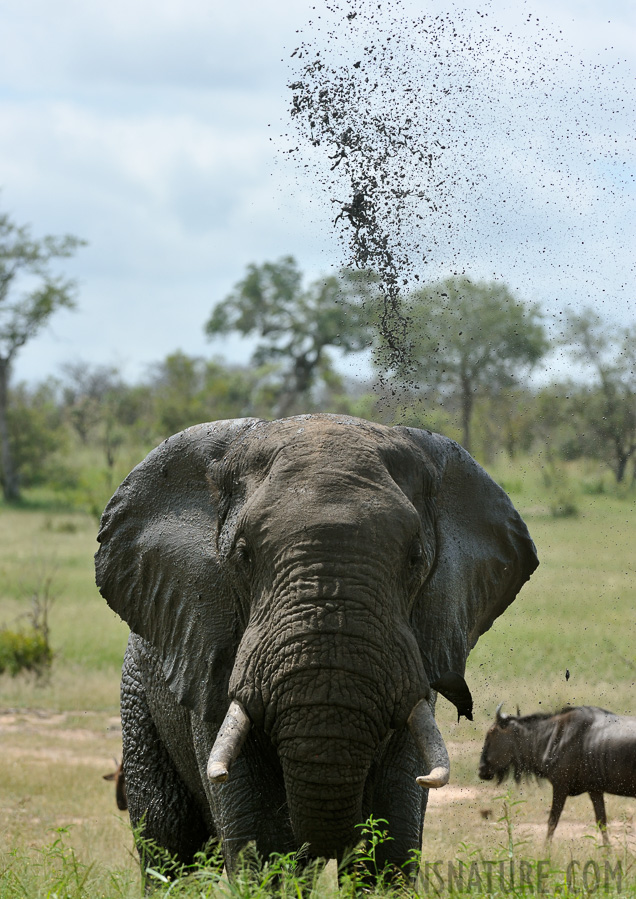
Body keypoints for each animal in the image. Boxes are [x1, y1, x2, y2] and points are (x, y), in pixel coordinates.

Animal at [95, 414, 536, 884]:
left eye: (416, 559)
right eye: (243, 556)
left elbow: (391, 839)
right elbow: (262, 845)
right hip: (137, 694)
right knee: (169, 844)